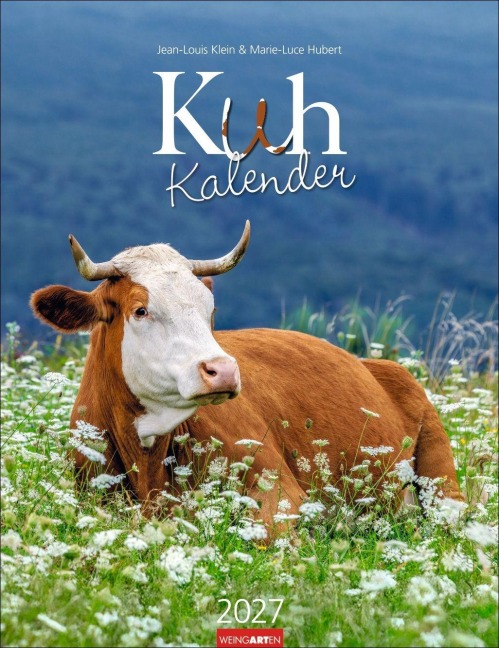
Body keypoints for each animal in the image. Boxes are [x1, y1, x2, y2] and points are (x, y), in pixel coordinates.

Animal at [31, 221, 462, 526]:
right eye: (140, 309)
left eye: (211, 310)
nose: (222, 371)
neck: (146, 456)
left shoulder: (281, 492)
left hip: (443, 482)